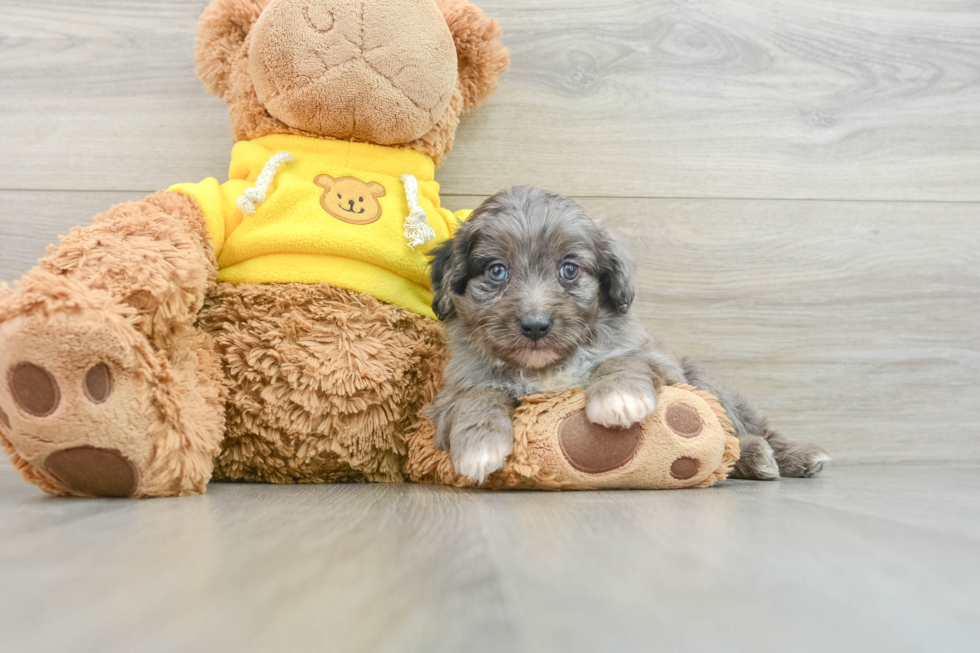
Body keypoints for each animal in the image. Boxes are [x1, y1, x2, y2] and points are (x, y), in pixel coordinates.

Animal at [428, 186, 828, 482]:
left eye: (569, 269)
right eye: (497, 271)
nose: (535, 325)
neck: (548, 368)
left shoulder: (655, 360)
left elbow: (623, 360)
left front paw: (618, 398)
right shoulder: (452, 392)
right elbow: (478, 395)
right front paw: (480, 445)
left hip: (708, 384)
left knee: (743, 431)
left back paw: (784, 455)